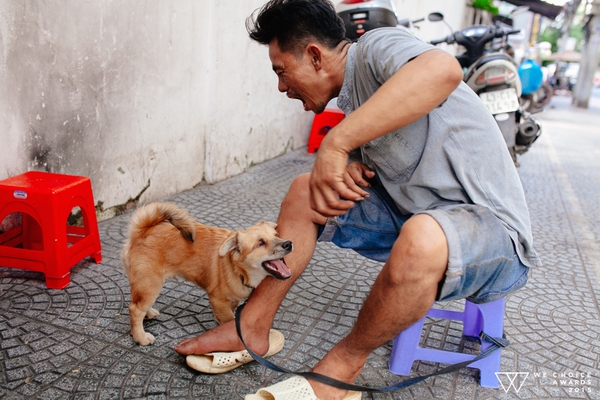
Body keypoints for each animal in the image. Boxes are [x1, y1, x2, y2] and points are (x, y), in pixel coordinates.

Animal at [122, 202, 292, 346]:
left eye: (277, 234)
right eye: (260, 243)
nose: (288, 243)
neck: (238, 270)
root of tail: (143, 229)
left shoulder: (231, 300)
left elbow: (230, 311)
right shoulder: (218, 300)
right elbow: (229, 320)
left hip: (147, 284)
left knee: (139, 303)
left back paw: (149, 313)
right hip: (150, 283)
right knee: (135, 309)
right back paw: (141, 337)